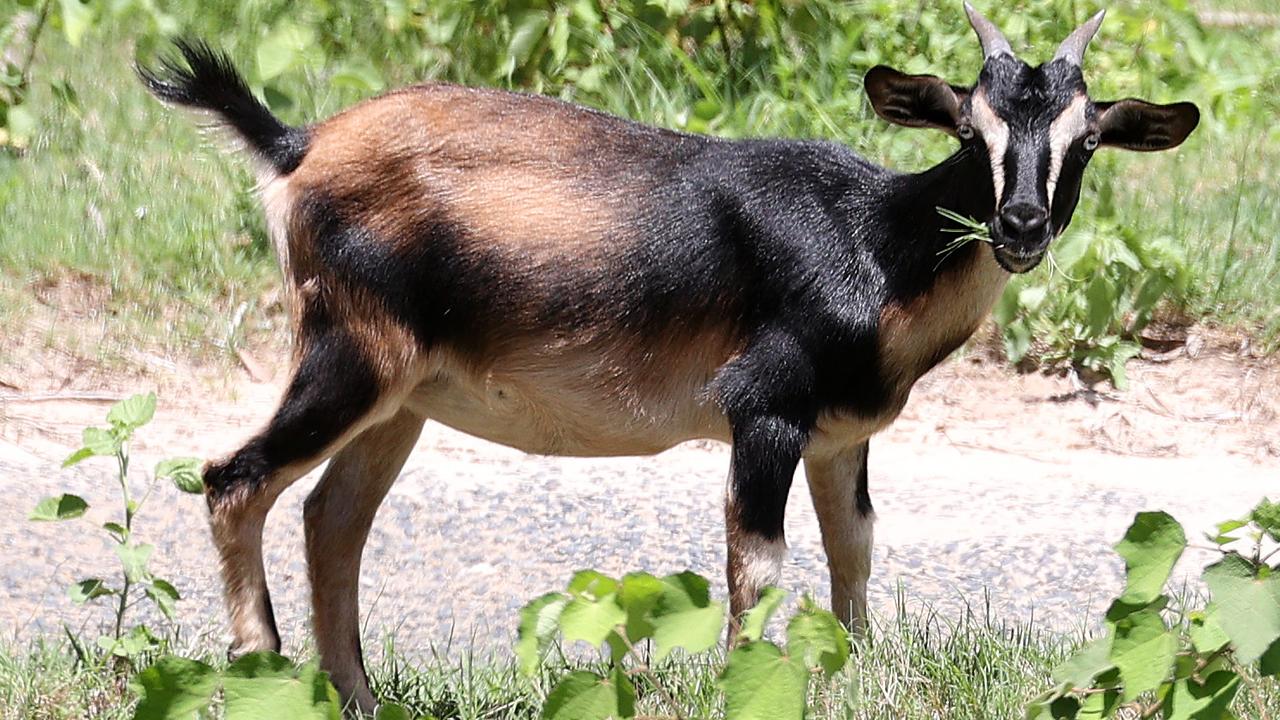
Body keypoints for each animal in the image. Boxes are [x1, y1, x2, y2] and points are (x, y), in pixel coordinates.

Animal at [140, 4, 1198, 712]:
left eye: (1086, 139)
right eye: (970, 130)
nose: (1019, 225)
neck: (869, 240)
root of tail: (296, 145)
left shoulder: (838, 435)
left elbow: (854, 548)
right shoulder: (762, 411)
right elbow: (759, 565)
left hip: (400, 400)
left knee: (332, 519)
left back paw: (363, 699)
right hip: (349, 361)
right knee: (233, 479)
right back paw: (263, 670)